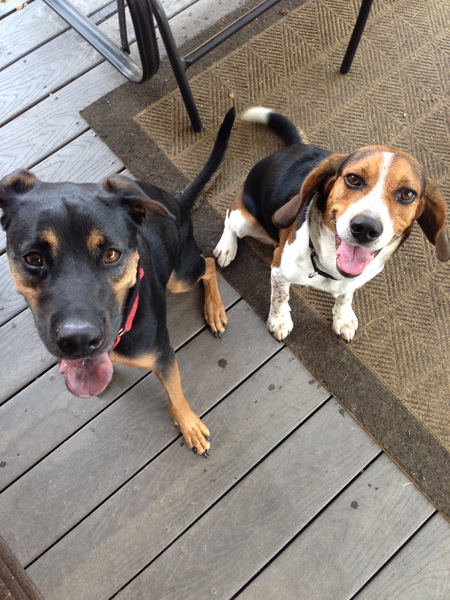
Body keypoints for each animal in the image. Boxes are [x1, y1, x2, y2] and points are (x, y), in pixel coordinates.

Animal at [0, 108, 237, 458]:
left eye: (111, 254)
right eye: (33, 258)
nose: (78, 341)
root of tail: (177, 202)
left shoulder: (163, 357)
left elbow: (176, 395)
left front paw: (189, 426)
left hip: (179, 276)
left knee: (207, 265)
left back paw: (214, 310)